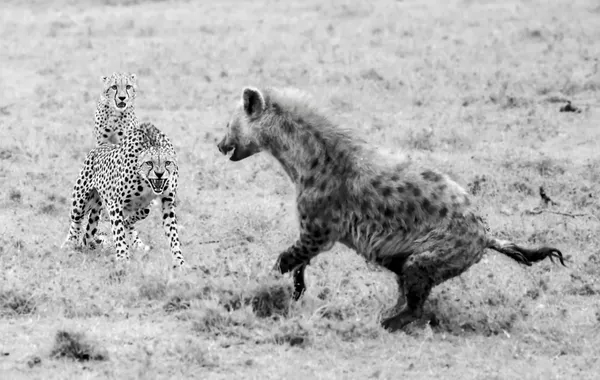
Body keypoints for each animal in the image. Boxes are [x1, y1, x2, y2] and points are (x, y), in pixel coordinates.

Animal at [62, 121, 185, 268]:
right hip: (81, 202)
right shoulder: (115, 202)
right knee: (76, 221)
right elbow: (118, 231)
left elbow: (172, 234)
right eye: (149, 163)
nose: (159, 174)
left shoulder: (167, 202)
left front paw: (179, 261)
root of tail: (100, 147)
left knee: (90, 231)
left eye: (168, 163)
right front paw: (122, 257)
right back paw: (70, 243)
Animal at [218, 87, 564, 332]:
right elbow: (298, 263)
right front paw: (295, 291)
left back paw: (383, 323)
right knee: (408, 294)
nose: (218, 144)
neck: (305, 160)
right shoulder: (314, 231)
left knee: (415, 302)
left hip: (431, 255)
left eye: (227, 124)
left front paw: (262, 288)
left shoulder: (320, 228)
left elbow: (285, 259)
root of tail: (486, 234)